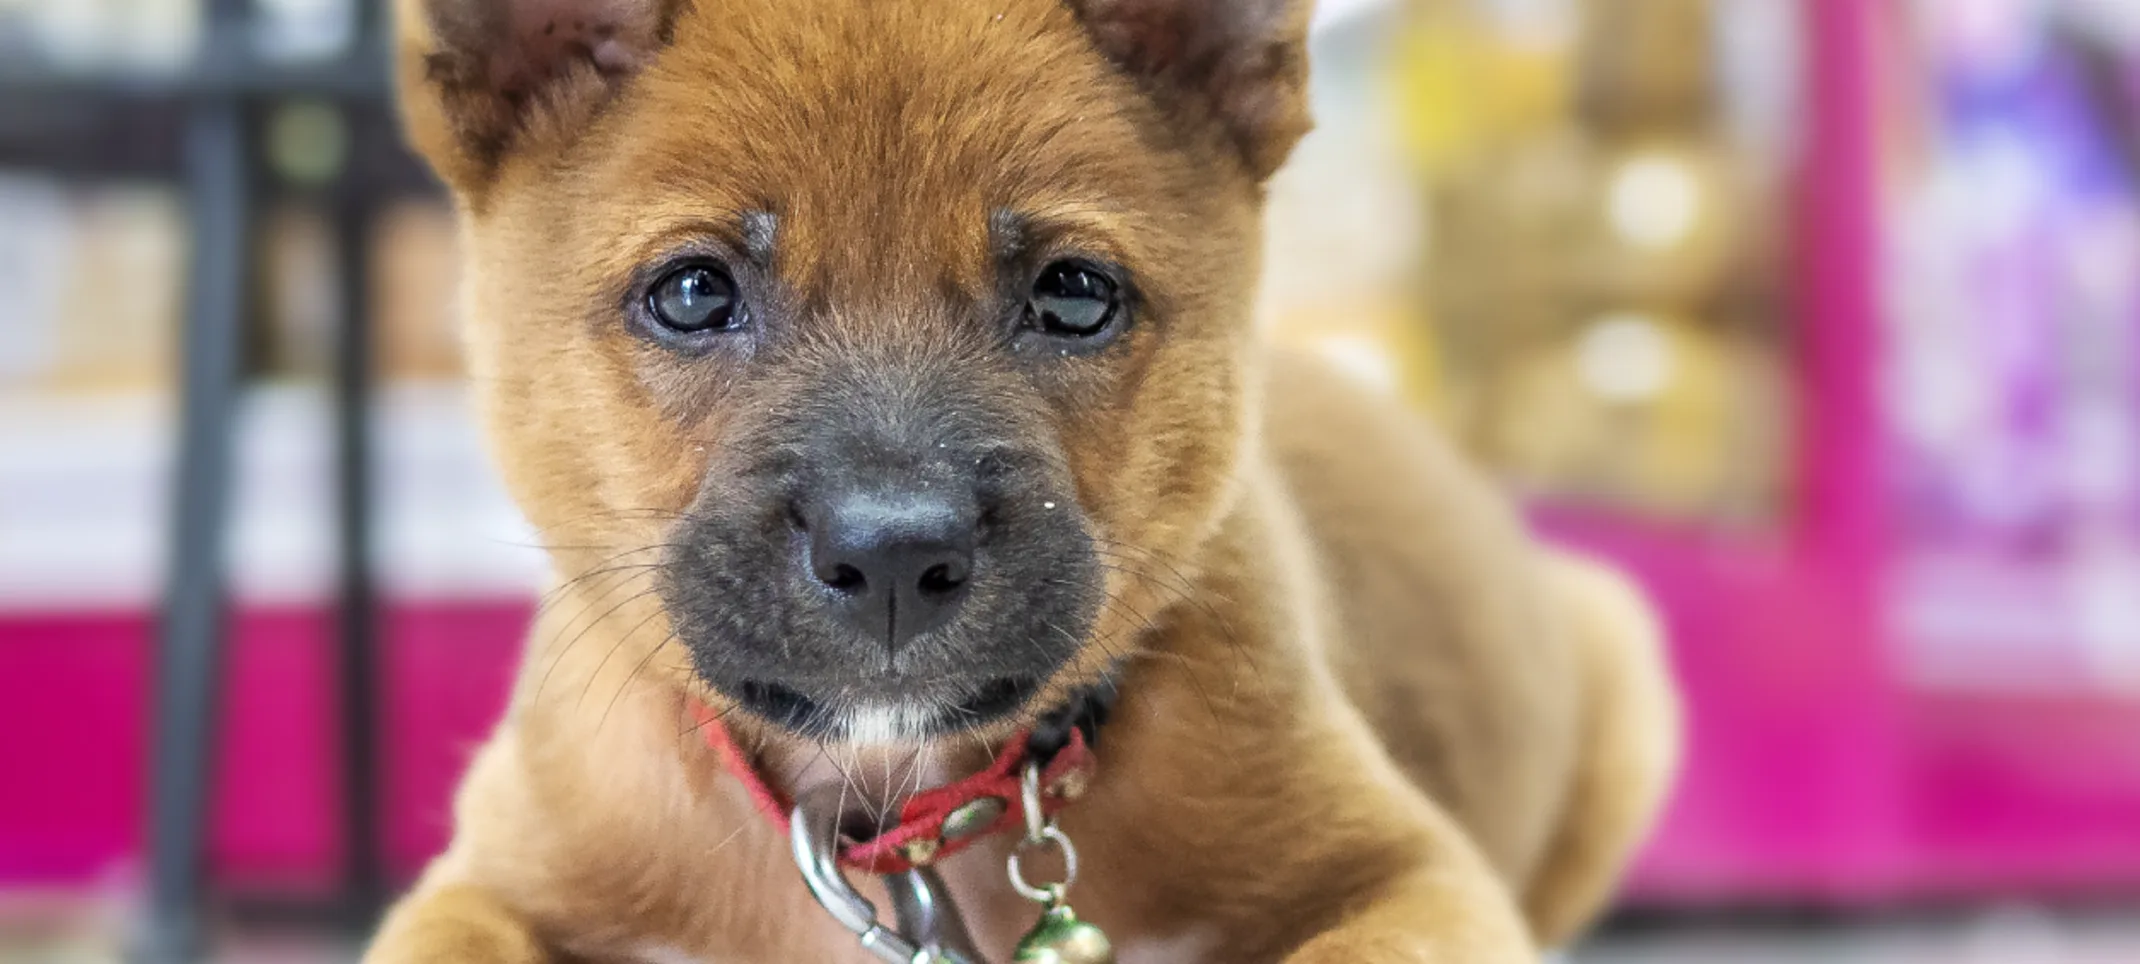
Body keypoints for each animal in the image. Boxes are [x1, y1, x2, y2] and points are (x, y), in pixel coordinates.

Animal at [372, 0, 1686, 959]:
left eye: (1074, 295)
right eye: (692, 292)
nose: (893, 554)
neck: (894, 812)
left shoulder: (1415, 875)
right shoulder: (483, 883)